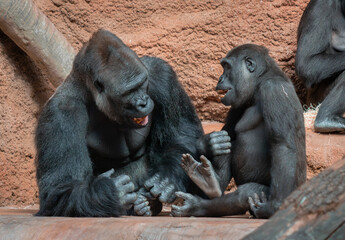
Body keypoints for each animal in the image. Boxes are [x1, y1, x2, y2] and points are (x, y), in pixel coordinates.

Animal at [172, 44, 306, 218]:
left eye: (227, 67)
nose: (220, 79)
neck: (260, 81)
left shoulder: (274, 89)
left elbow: (283, 145)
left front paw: (275, 206)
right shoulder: (237, 102)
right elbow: (227, 132)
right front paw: (207, 143)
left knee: (246, 193)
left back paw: (197, 205)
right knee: (227, 144)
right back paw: (210, 184)